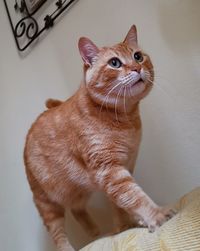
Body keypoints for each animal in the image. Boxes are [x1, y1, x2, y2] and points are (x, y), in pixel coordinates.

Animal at [23, 24, 175, 251]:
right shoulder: (111, 171)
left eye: (138, 56)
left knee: (78, 210)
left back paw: (97, 234)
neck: (124, 119)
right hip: (47, 205)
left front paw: (124, 227)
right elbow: (135, 197)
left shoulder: (124, 167)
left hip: (78, 193)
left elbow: (119, 205)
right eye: (115, 63)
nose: (136, 68)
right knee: (58, 234)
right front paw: (156, 215)